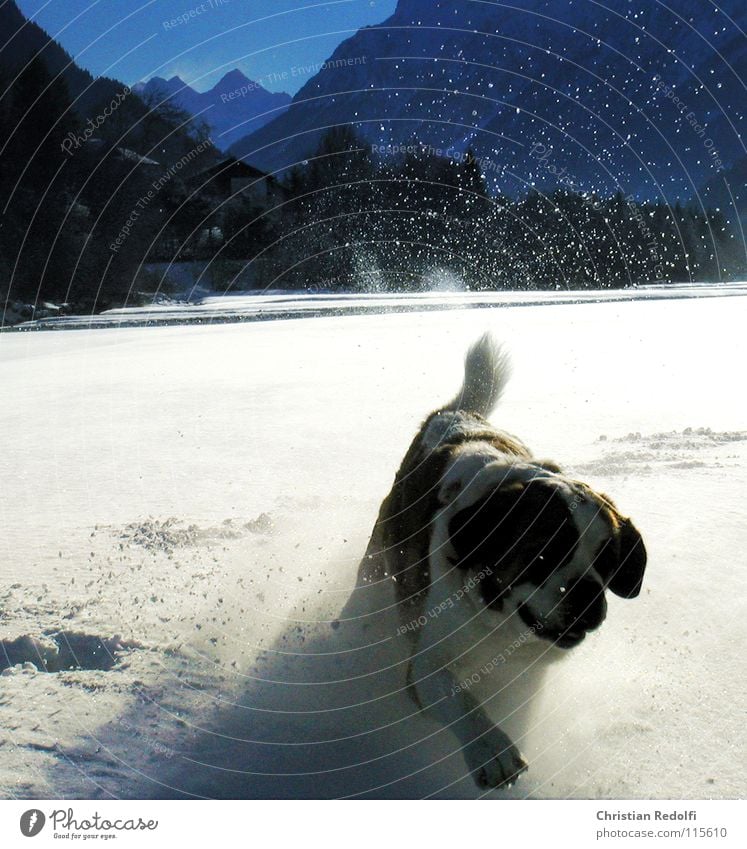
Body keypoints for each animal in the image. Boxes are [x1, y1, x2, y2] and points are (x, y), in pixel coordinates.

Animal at [360, 332, 644, 788]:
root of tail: (456, 412)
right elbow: (456, 695)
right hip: (380, 552)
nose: (587, 596)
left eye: (608, 561)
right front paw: (492, 750)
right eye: (544, 554)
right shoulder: (426, 662)